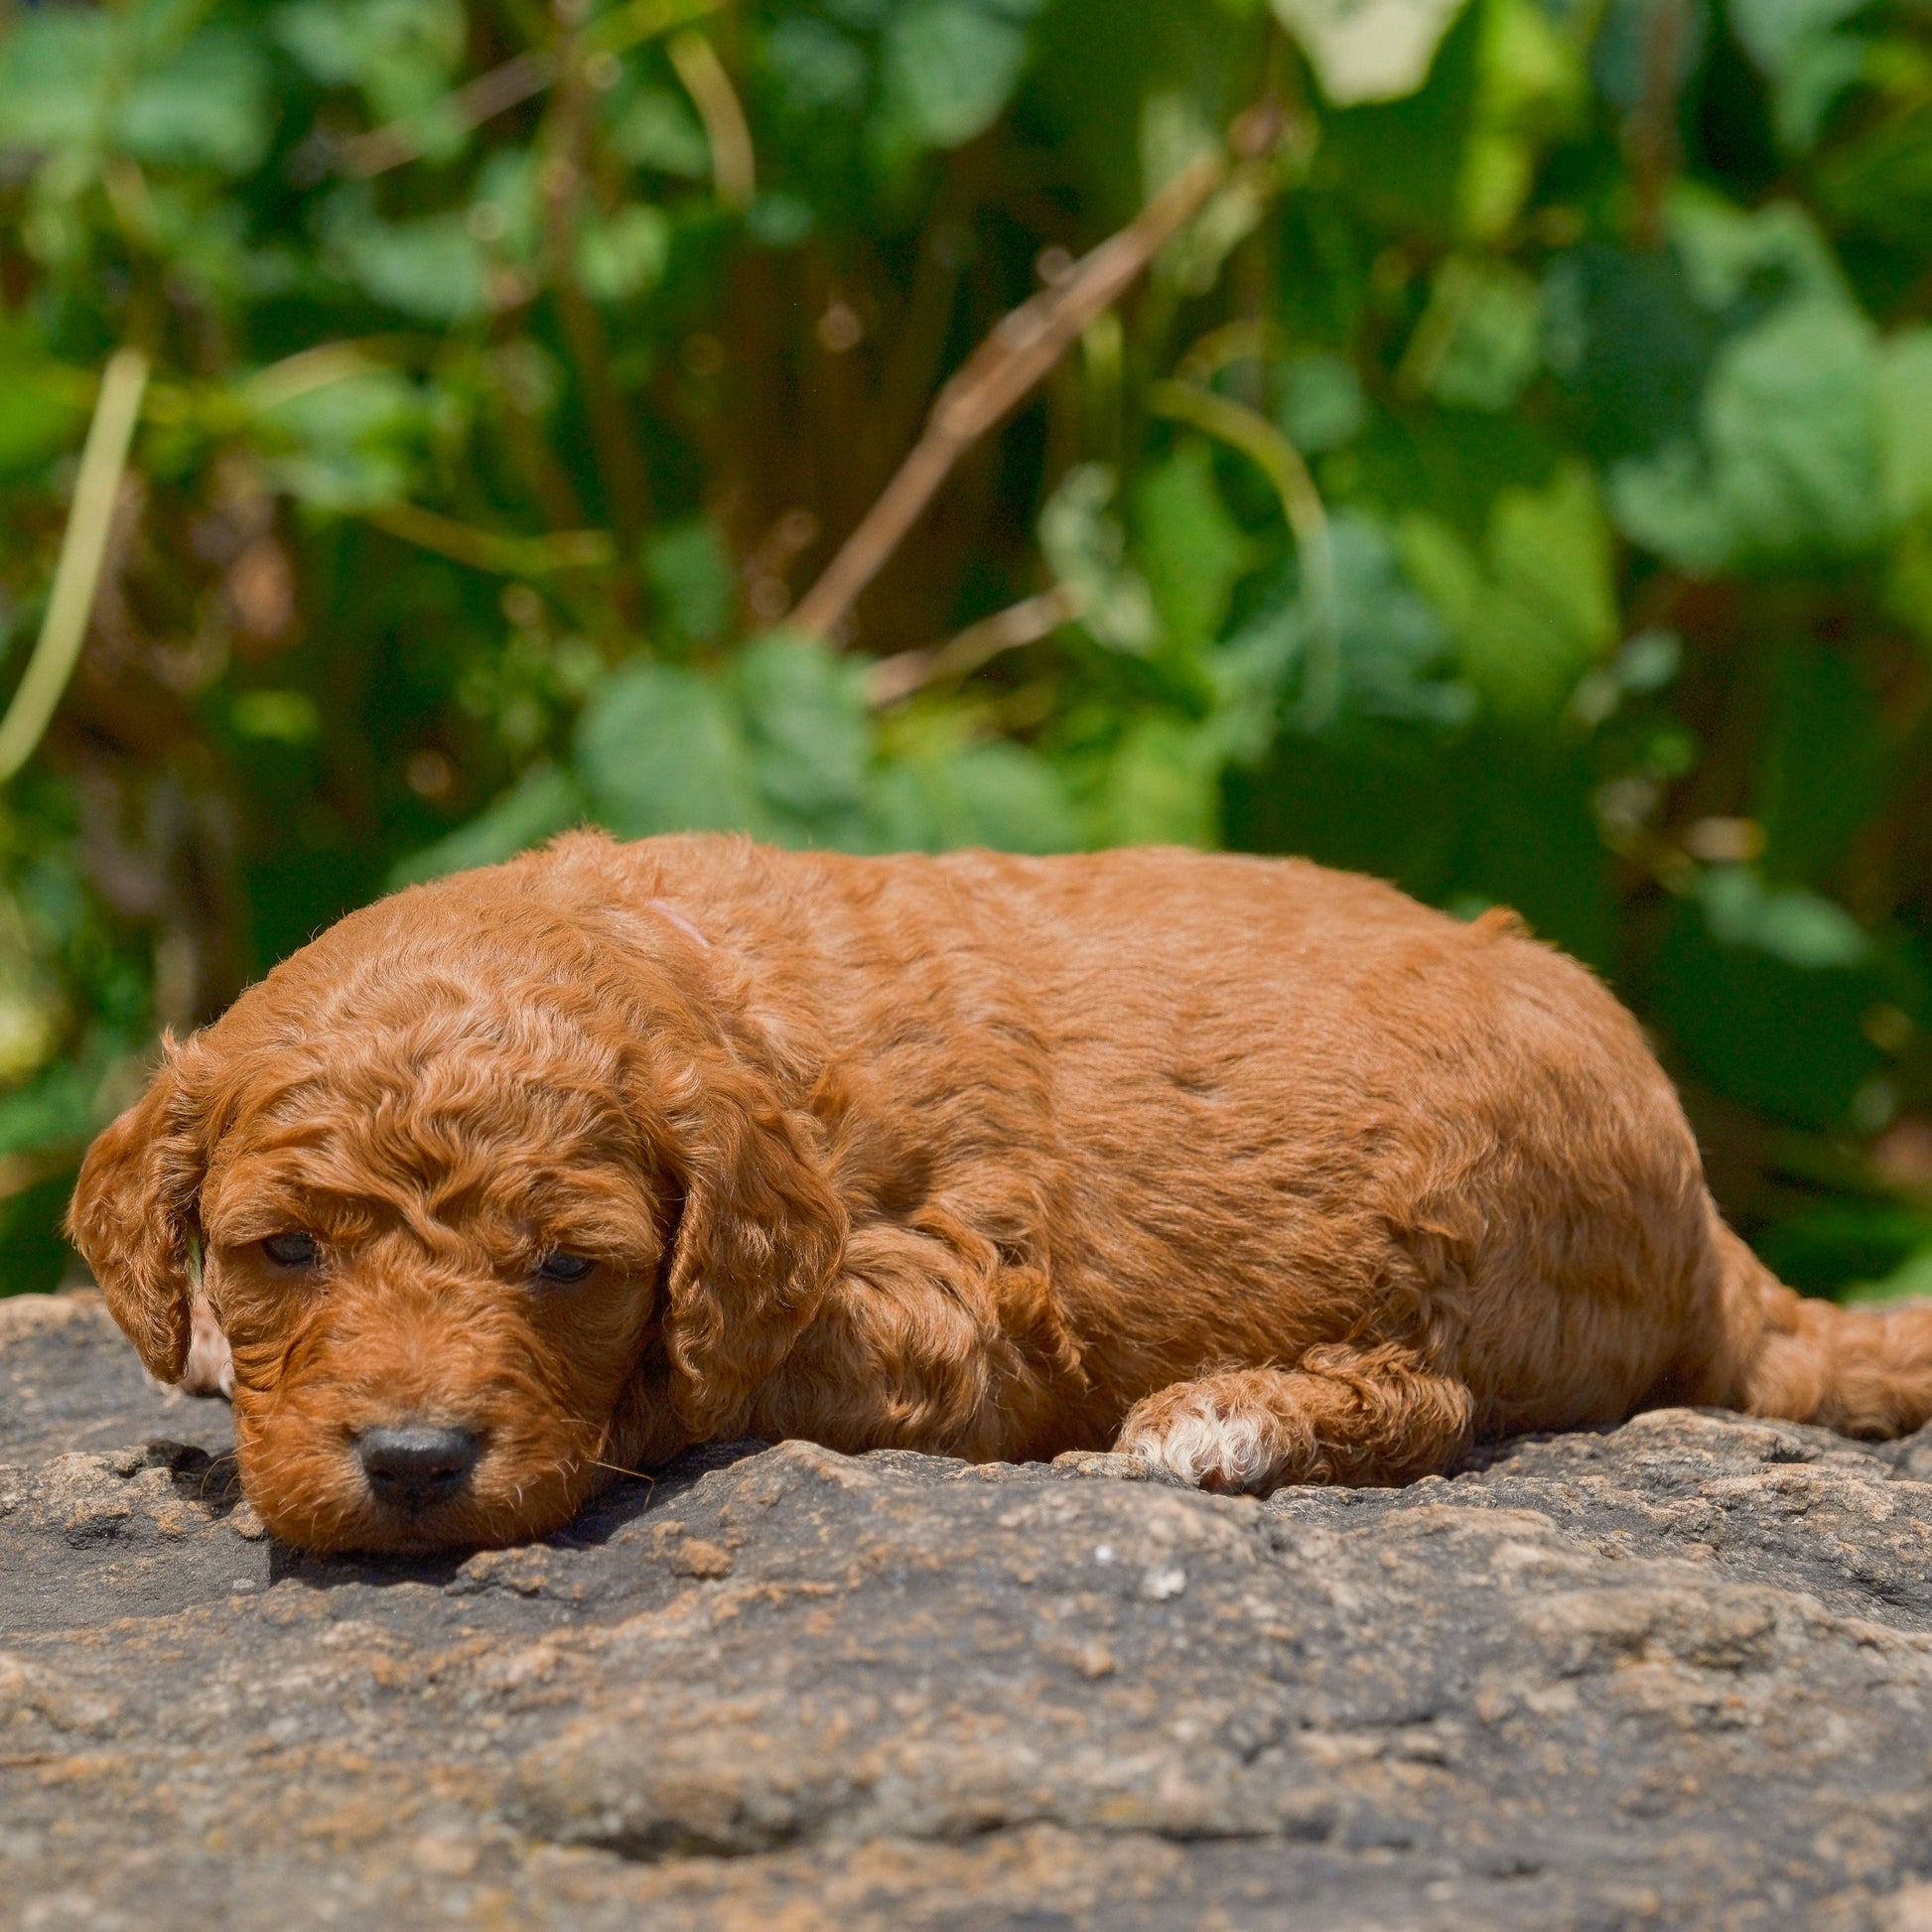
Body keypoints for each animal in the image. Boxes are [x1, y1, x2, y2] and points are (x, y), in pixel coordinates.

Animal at [64, 830, 1932, 1553]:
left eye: (570, 1269)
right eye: (280, 1249)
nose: (412, 1465)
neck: (698, 977)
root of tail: (1705, 1219)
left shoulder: (958, 1312)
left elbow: (716, 1373)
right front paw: (213, 1355)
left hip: (1467, 1223)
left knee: (1435, 1399)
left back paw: (1223, 1421)